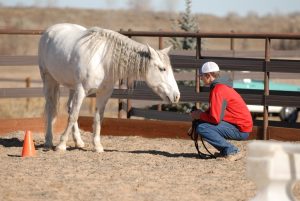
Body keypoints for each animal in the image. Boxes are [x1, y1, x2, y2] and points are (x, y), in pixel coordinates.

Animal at [39, 23, 180, 152]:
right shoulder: (82, 90)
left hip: (72, 87)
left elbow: (98, 117)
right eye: (162, 69)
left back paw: (78, 142)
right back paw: (48, 141)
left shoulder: (104, 93)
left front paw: (97, 146)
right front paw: (61, 145)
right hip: (49, 80)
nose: (176, 95)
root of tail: (50, 30)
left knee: (69, 107)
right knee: (51, 107)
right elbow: (74, 115)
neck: (103, 61)